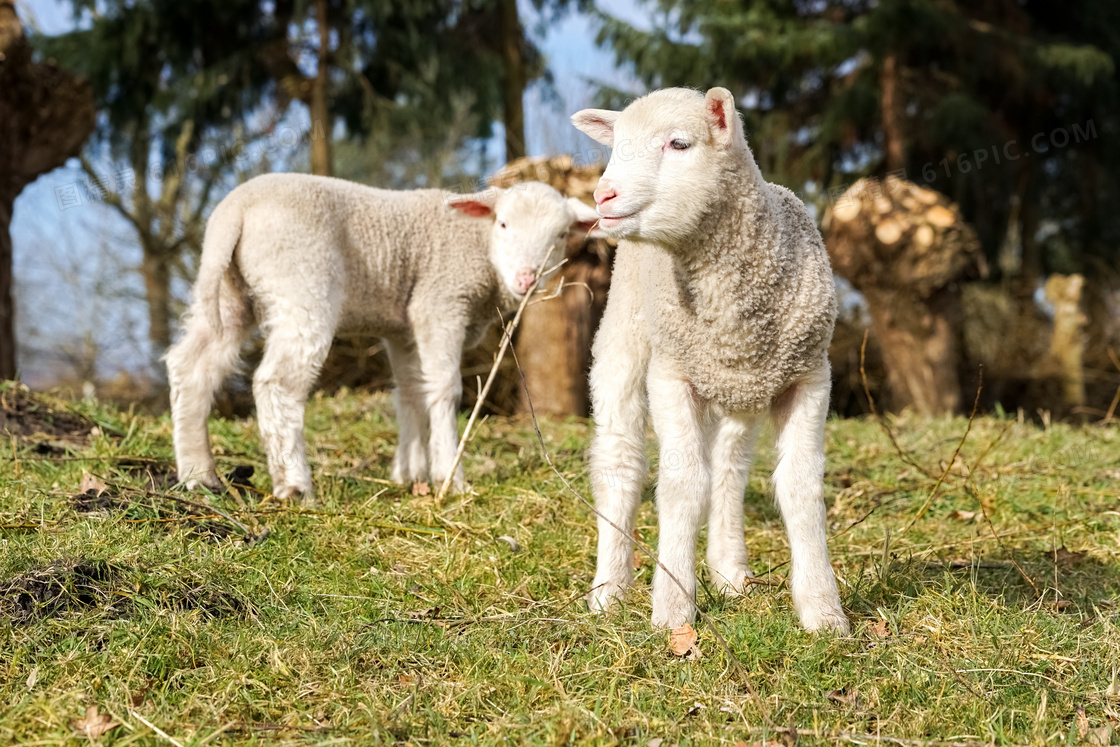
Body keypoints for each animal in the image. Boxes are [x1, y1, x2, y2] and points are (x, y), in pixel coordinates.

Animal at [163, 173, 600, 501]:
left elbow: (409, 392)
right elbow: (444, 390)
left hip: (230, 292)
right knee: (277, 383)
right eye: (504, 224)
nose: (527, 278)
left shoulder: (402, 328)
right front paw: (449, 477)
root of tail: (235, 209)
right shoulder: (439, 303)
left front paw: (410, 472)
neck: (478, 245)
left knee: (191, 366)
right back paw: (295, 485)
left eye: (561, 235)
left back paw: (199, 476)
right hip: (301, 284)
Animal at [577, 90, 846, 636]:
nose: (603, 195)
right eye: (617, 144)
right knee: (620, 459)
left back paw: (728, 571)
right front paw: (672, 611)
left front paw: (823, 612)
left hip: (742, 385)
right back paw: (609, 590)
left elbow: (801, 486)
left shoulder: (810, 376)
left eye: (679, 144)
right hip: (625, 337)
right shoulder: (671, 374)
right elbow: (682, 485)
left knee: (729, 467)